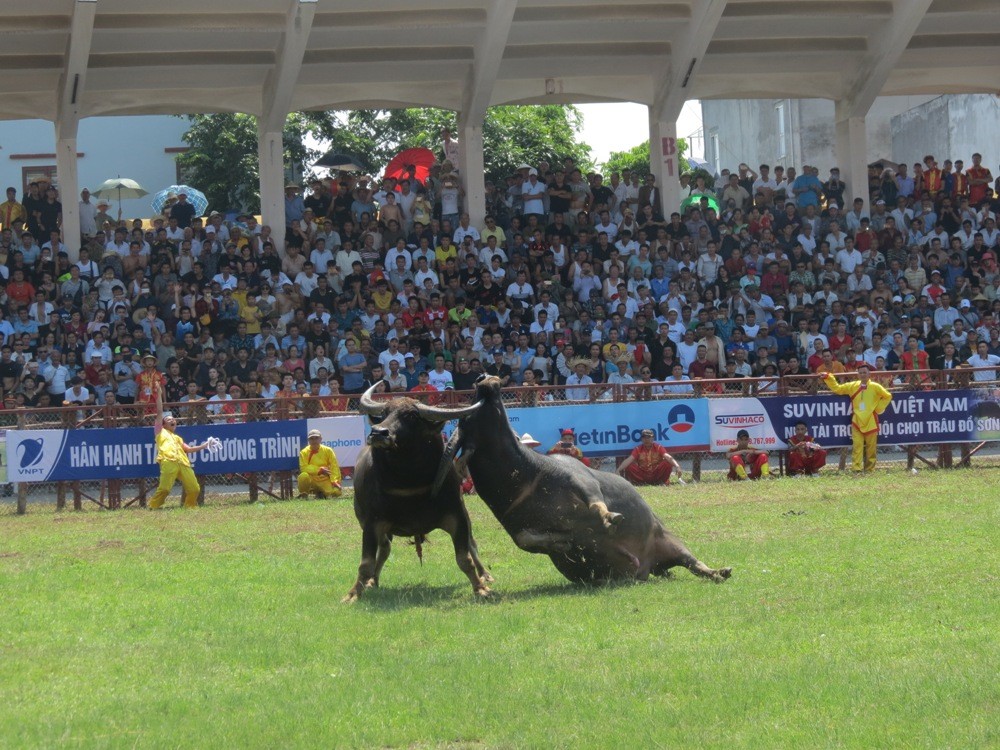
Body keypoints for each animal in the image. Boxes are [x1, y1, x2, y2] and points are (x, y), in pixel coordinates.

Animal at [344, 384, 496, 604]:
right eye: (385, 413)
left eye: (411, 416)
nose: (378, 432)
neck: (409, 484)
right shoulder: (371, 523)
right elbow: (366, 563)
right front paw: (354, 593)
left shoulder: (456, 515)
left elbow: (464, 557)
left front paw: (480, 587)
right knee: (385, 548)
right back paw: (373, 580)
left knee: (472, 544)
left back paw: (485, 574)